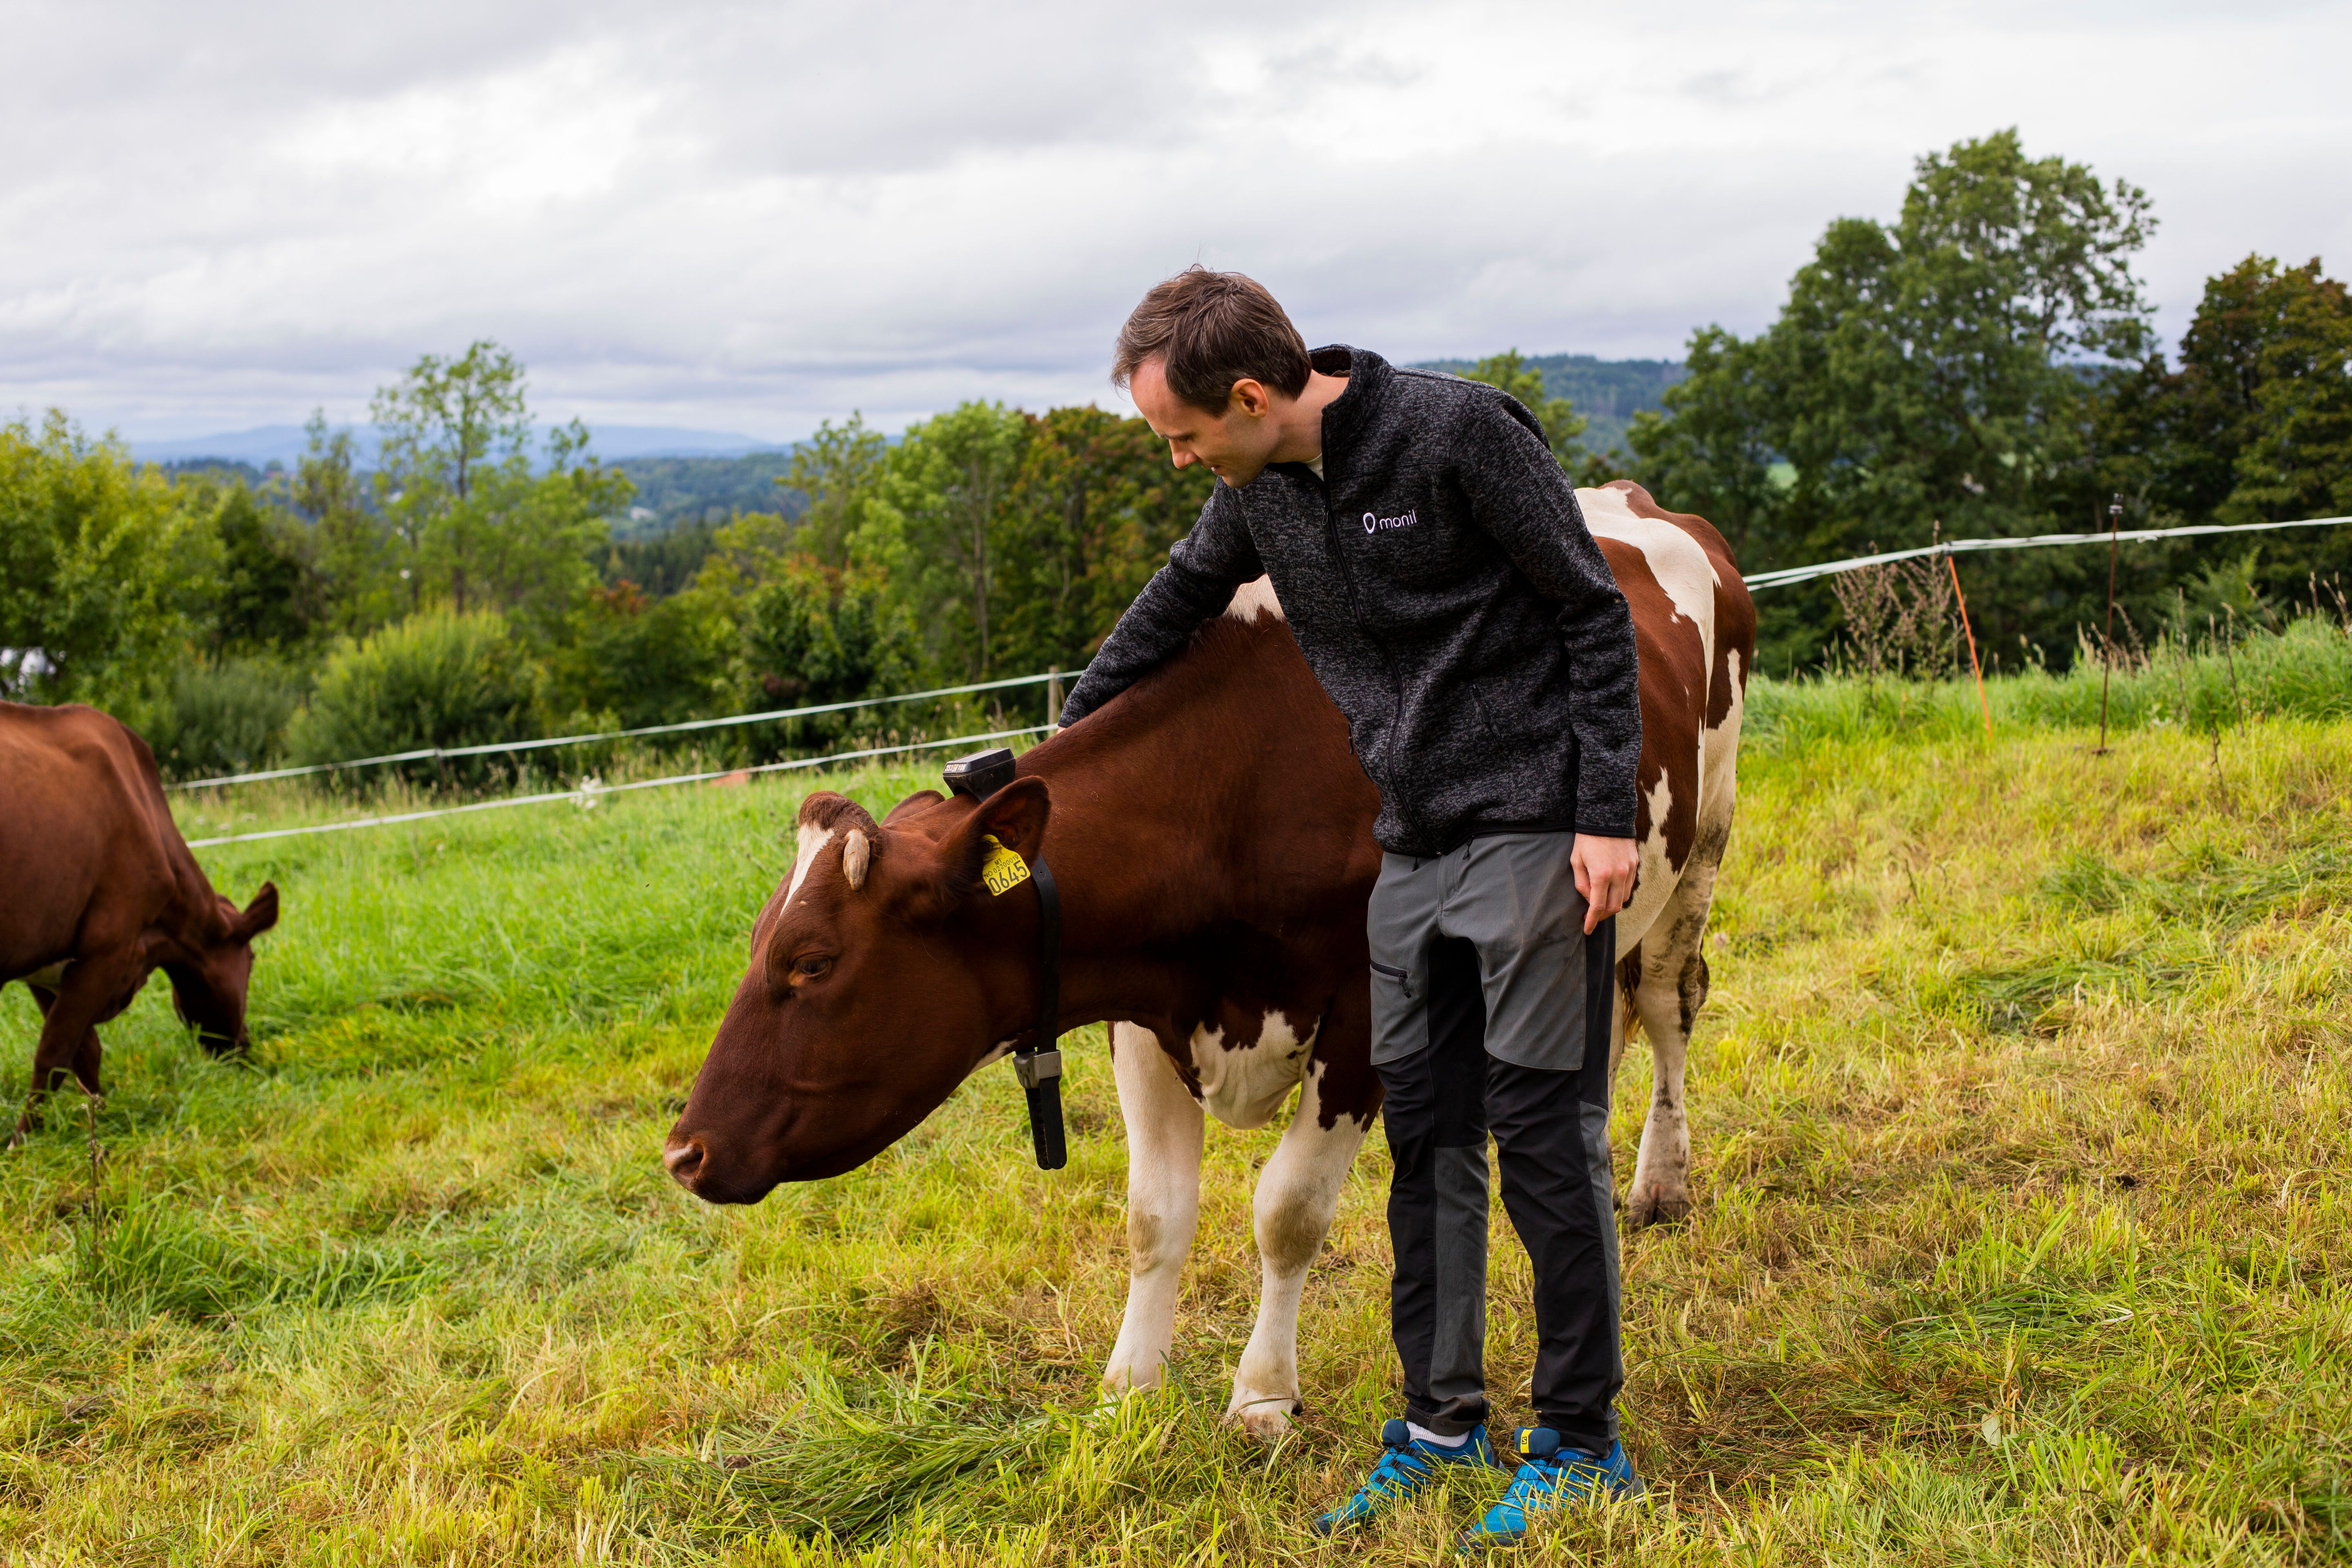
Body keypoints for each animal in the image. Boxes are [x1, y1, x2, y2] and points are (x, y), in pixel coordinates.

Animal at [0, 700, 280, 1142]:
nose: (244, 1046)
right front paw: (25, 1142)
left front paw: (96, 1122)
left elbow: (84, 1052)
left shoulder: (46, 962)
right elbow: (55, 1052)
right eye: (251, 962)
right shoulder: (109, 947)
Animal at [663, 484, 1750, 1439]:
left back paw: (1658, 1183)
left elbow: (1288, 1211)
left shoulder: (1362, 1014)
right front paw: (1127, 1390)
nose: (683, 1153)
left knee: (1665, 1003)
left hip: (1698, 849)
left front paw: (1262, 1398)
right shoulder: (1142, 1013)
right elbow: (1155, 1216)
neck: (1237, 787)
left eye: (811, 962)